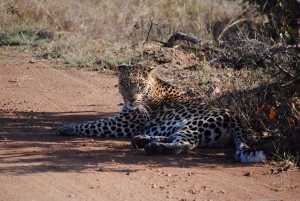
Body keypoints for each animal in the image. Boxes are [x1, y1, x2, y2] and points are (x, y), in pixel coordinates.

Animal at [58, 64, 264, 163]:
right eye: (124, 84)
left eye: (140, 85)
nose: (131, 100)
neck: (152, 90)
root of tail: (237, 118)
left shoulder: (121, 124)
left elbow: (91, 123)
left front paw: (66, 127)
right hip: (184, 126)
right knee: (177, 137)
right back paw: (143, 140)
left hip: (196, 124)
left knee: (186, 144)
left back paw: (155, 147)